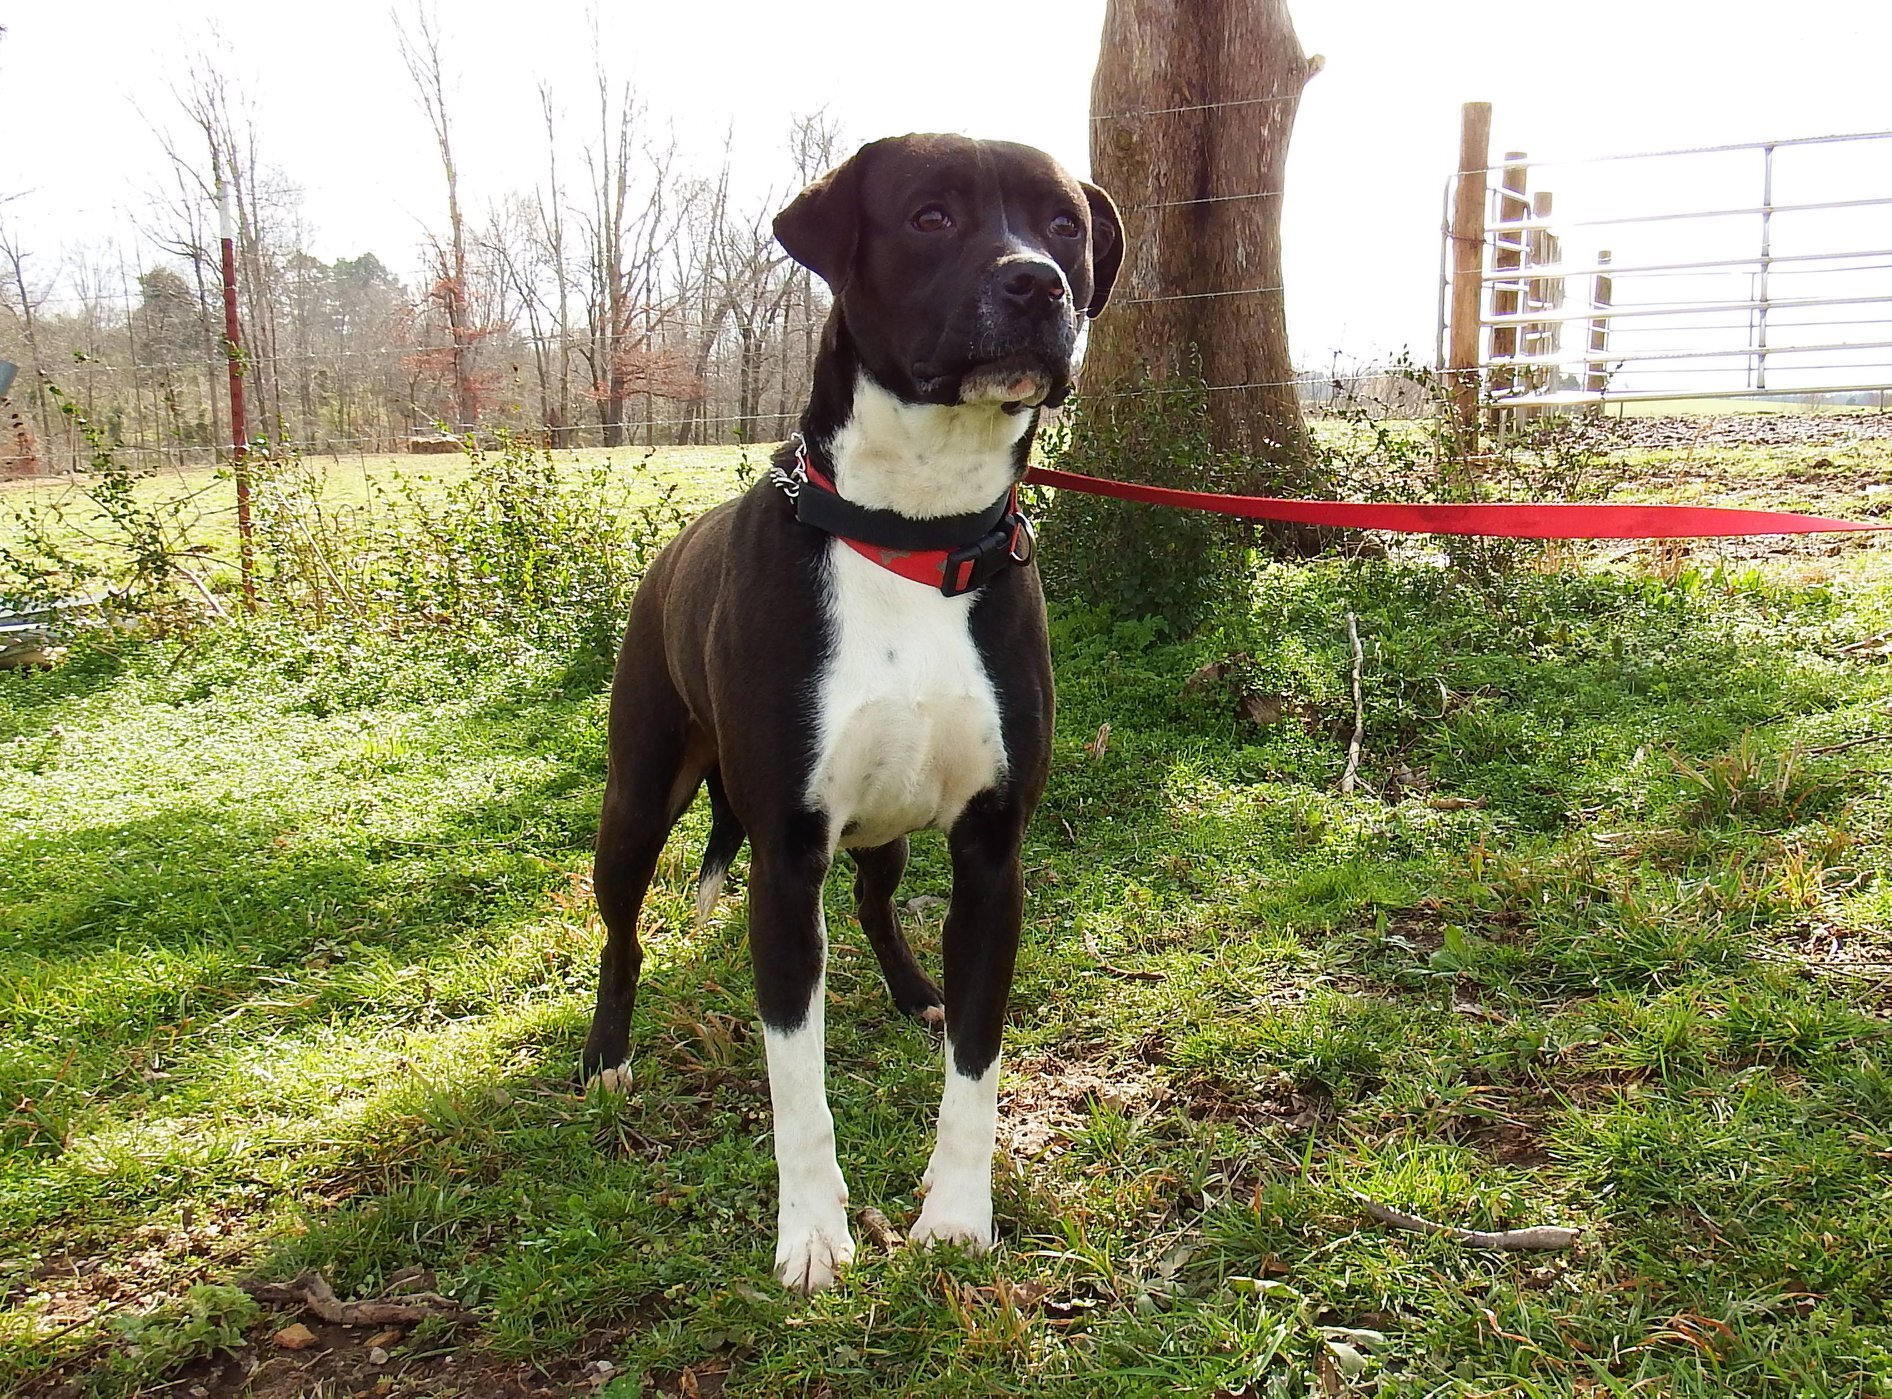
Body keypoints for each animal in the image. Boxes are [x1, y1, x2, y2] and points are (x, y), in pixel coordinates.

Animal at [582, 137, 1120, 1294]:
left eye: (1064, 225)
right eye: (929, 216)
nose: (1036, 284)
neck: (913, 524)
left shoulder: (990, 852)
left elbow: (977, 1063)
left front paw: (957, 1215)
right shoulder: (786, 864)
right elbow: (798, 1088)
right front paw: (814, 1234)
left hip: (886, 825)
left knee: (875, 902)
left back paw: (914, 987)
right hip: (636, 798)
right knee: (621, 930)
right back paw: (607, 1052)